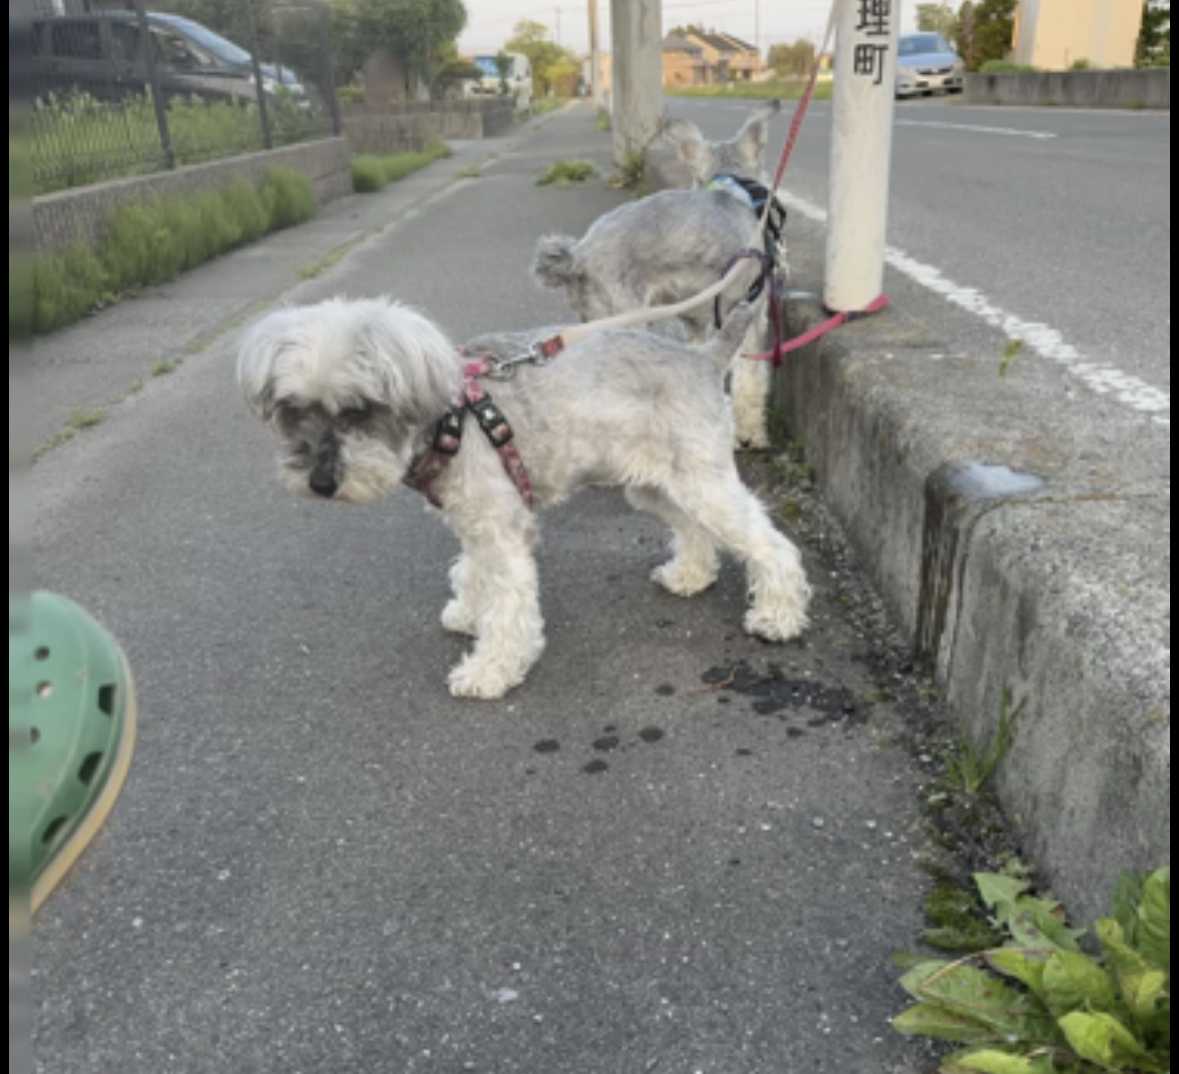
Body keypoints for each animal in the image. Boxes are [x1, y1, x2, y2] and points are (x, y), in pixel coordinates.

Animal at [237, 296, 812, 700]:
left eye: (360, 409)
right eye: (292, 408)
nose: (321, 483)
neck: (450, 417)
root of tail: (702, 356)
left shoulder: (500, 528)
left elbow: (509, 604)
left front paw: (489, 670)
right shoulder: (475, 521)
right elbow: (473, 572)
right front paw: (467, 612)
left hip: (701, 482)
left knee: (771, 545)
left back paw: (777, 617)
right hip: (655, 485)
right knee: (693, 528)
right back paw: (690, 575)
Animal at [531, 101, 786, 450]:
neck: (731, 192)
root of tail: (579, 256)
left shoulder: (697, 320)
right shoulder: (751, 315)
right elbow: (750, 381)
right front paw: (751, 434)